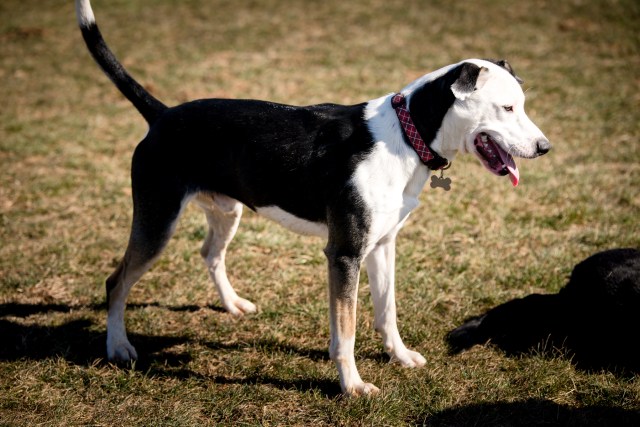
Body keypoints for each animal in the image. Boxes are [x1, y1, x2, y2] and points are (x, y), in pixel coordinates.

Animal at [76, 0, 550, 395]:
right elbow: (347, 331)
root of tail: (162, 115)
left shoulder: (382, 245)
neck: (405, 133)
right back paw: (118, 347)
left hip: (226, 211)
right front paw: (352, 386)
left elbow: (386, 311)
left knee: (209, 252)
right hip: (157, 221)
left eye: (523, 105)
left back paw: (232, 304)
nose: (545, 148)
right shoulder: (344, 254)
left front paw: (399, 357)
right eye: (507, 108)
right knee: (117, 281)